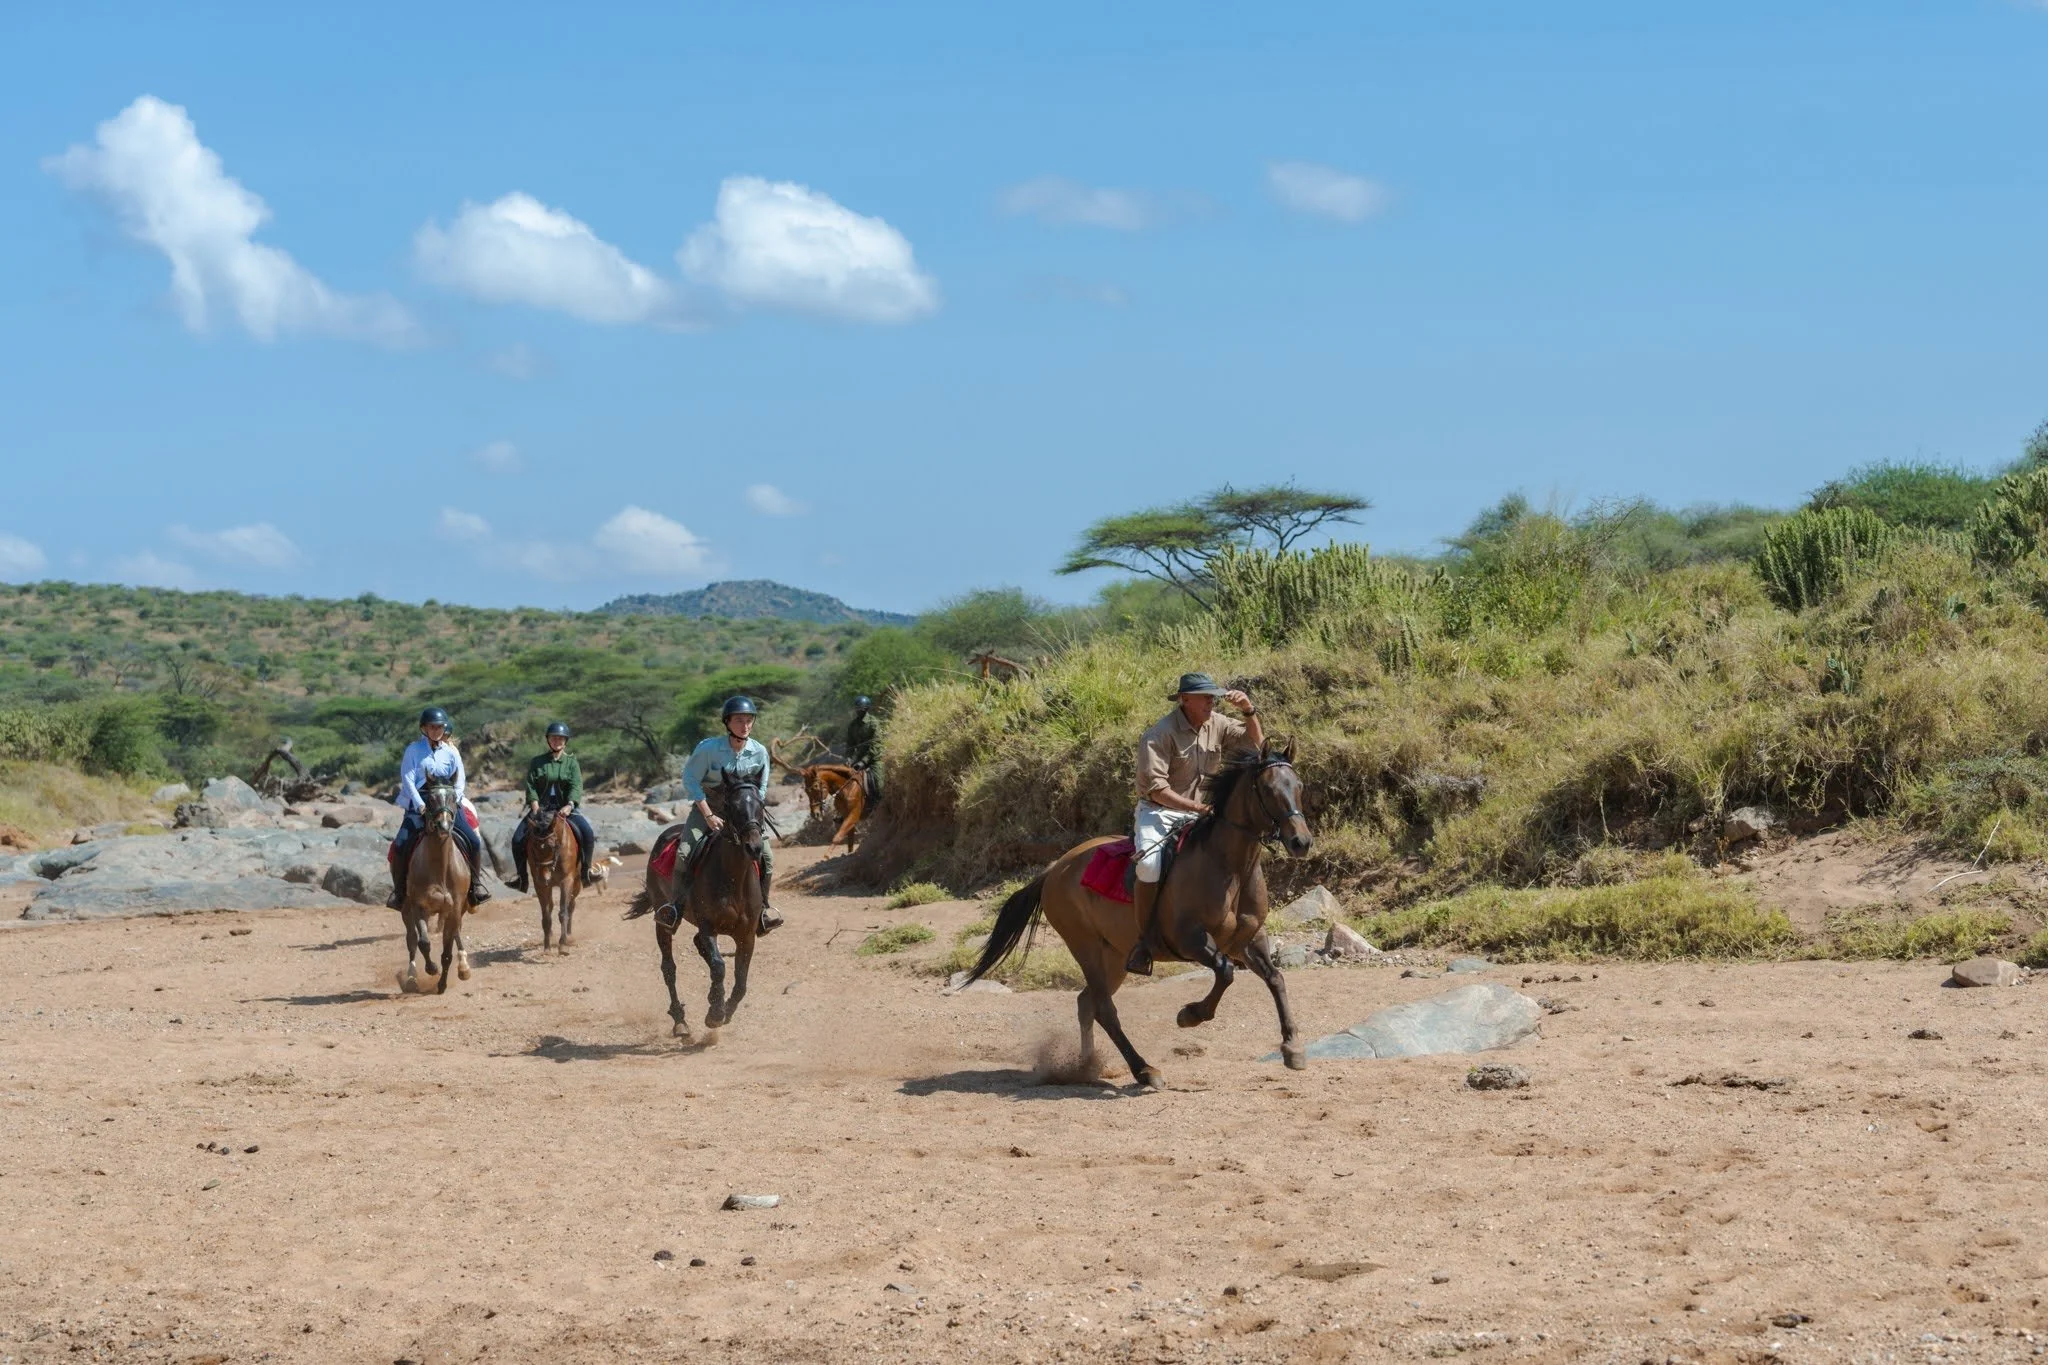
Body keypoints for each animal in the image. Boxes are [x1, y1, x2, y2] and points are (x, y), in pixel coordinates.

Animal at [400, 781, 472, 994]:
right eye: (430, 799)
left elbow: (447, 951)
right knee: (411, 940)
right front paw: (432, 969)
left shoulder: (455, 908)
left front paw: (442, 984)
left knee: (456, 933)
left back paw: (463, 967)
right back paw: (412, 977)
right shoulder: (418, 906)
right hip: (406, 910)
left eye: (453, 797)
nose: (444, 825)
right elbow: (423, 942)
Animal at [529, 804, 582, 952]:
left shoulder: (567, 881)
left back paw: (569, 936)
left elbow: (563, 912)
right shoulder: (540, 885)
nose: (544, 876)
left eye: (552, 846)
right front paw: (547, 948)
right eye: (533, 846)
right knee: (552, 906)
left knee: (571, 905)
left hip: (576, 883)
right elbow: (546, 915)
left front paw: (563, 944)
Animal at [628, 779, 766, 1041]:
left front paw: (724, 1009)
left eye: (761, 805)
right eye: (732, 807)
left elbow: (740, 982)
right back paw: (680, 1022)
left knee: (697, 946)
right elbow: (719, 967)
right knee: (669, 969)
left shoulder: (747, 936)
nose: (754, 847)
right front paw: (715, 1014)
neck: (732, 878)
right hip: (664, 922)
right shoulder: (709, 927)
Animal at [965, 744, 1313, 1087]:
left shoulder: (1248, 940)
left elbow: (1275, 978)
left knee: (1086, 1003)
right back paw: (1143, 1070)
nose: (1301, 842)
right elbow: (1225, 973)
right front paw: (1190, 1015)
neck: (1229, 866)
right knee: (1104, 1009)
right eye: (1267, 789)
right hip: (1086, 948)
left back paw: (1088, 1067)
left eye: (1299, 786)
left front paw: (1292, 1047)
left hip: (1114, 958)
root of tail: (1054, 870)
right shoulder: (1192, 939)